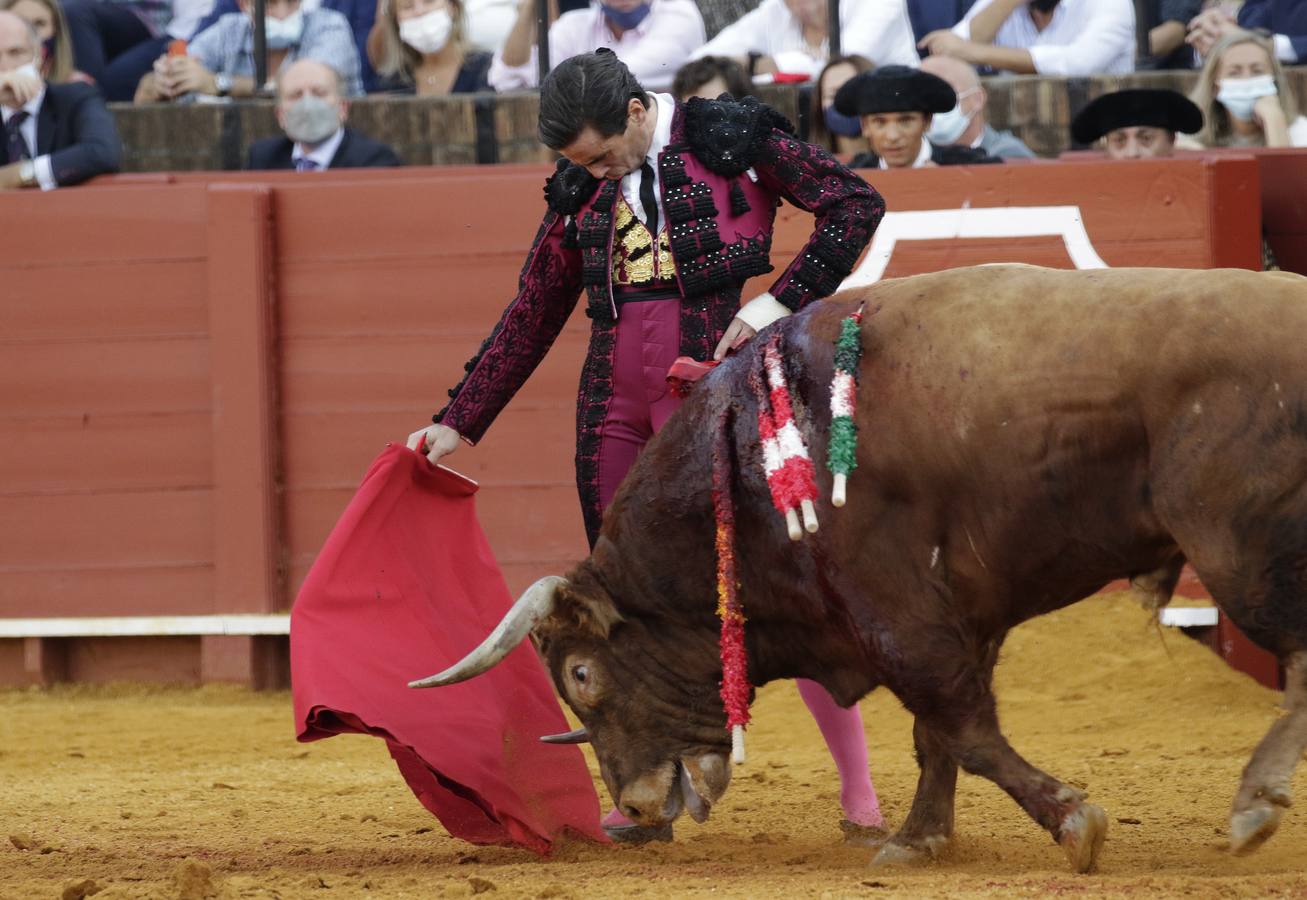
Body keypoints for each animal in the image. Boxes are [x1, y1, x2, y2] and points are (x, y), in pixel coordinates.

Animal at [407, 263, 1307, 867]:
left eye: (582, 674)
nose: (632, 801)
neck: (743, 455)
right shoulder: (959, 607)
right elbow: (934, 734)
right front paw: (919, 840)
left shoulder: (895, 610)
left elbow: (961, 724)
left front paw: (1071, 822)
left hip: (1235, 549)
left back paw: (1252, 807)